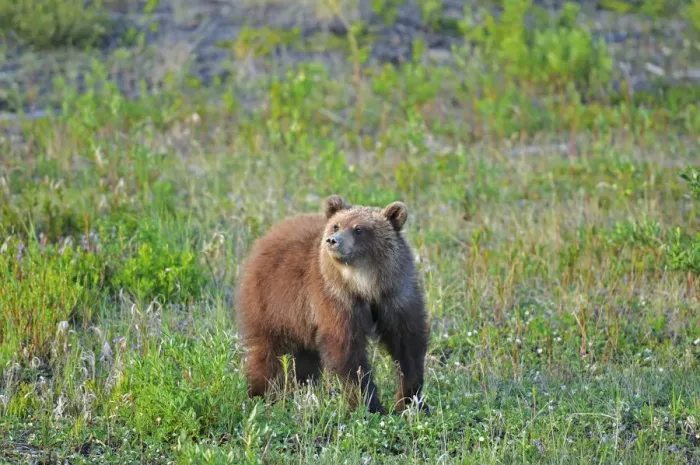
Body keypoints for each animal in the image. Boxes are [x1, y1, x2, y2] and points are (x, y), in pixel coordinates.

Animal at [235, 195, 430, 415]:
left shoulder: (396, 295)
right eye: (336, 225)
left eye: (359, 229)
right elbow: (347, 350)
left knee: (304, 358)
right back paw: (261, 394)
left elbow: (407, 342)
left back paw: (299, 389)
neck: (365, 285)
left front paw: (410, 399)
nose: (333, 240)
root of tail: (266, 236)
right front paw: (369, 404)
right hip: (272, 302)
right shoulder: (335, 298)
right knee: (268, 352)